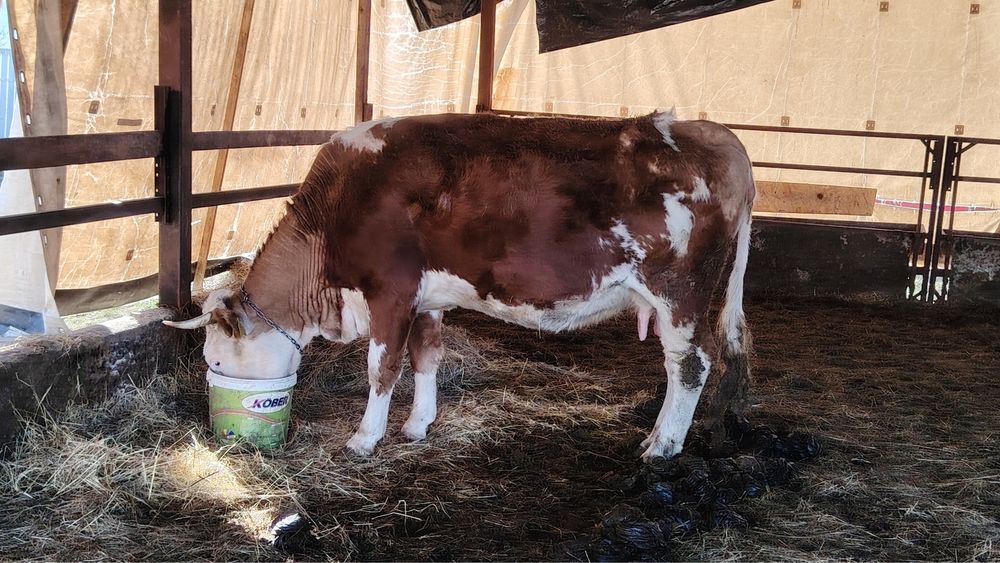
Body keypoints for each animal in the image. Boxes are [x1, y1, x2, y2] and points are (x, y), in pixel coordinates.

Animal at [165, 110, 755, 461]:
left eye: (214, 359)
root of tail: (714, 133)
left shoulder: (392, 290)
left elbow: (383, 366)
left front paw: (365, 438)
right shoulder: (428, 299)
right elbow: (427, 356)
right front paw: (418, 425)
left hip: (680, 292)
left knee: (691, 363)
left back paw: (663, 444)